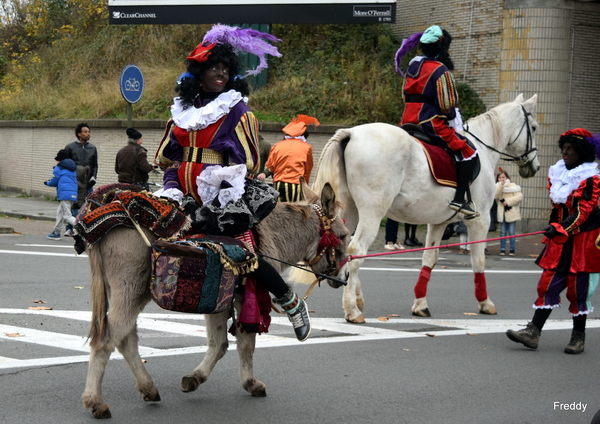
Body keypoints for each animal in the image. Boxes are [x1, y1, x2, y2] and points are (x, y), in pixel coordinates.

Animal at [312, 94, 540, 322]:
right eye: (535, 127)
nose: (535, 167)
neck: (484, 148)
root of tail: (351, 132)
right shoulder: (481, 219)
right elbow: (478, 261)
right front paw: (485, 303)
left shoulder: (438, 222)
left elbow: (430, 258)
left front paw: (420, 304)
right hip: (372, 212)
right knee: (356, 250)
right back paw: (352, 309)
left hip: (347, 209)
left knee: (343, 244)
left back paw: (346, 287)